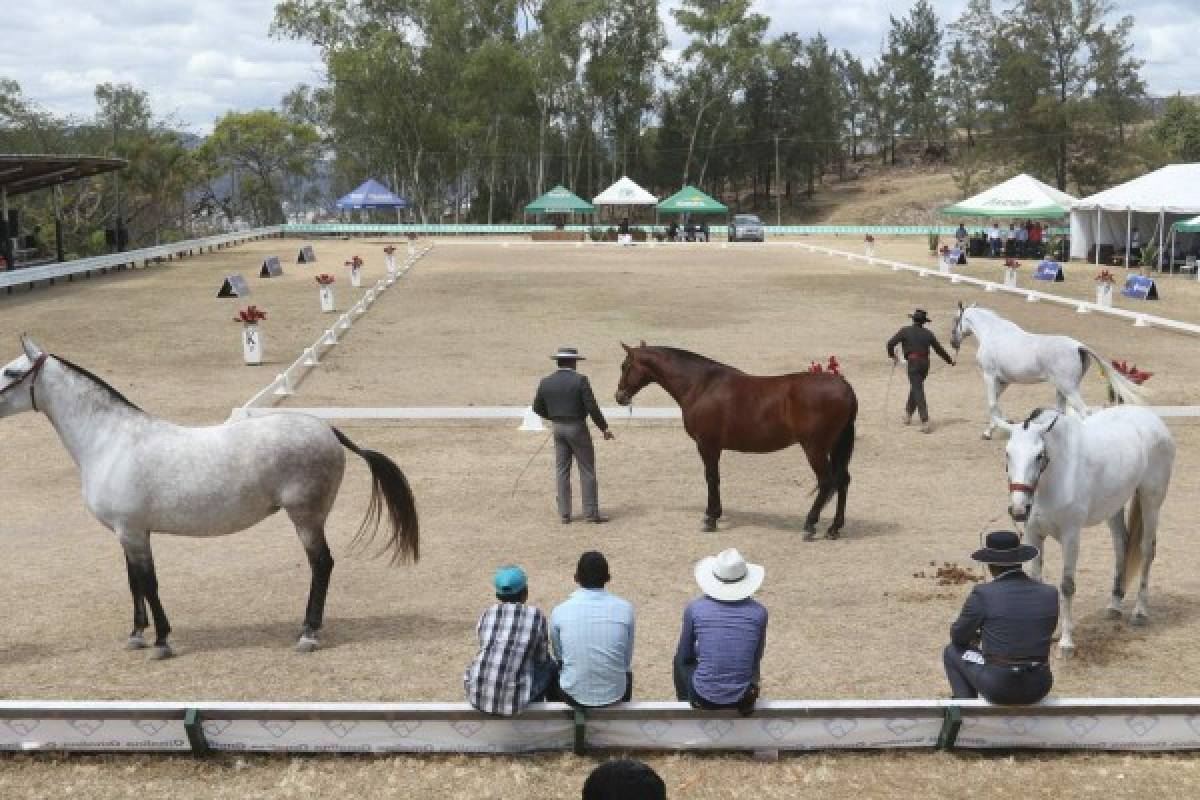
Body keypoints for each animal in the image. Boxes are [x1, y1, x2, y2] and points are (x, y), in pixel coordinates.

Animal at [0, 335, 420, 662]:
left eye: (10, 372)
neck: (111, 441)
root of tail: (328, 429)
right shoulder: (127, 533)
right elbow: (134, 582)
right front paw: (137, 635)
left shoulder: (132, 532)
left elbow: (149, 583)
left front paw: (162, 641)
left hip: (306, 518)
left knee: (322, 565)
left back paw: (308, 634)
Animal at [614, 345, 859, 537]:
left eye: (625, 366)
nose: (619, 397)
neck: (701, 385)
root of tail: (845, 388)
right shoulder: (714, 447)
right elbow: (716, 478)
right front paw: (715, 514)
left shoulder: (706, 445)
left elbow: (711, 478)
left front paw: (710, 519)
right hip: (834, 446)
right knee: (843, 480)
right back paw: (834, 528)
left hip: (814, 448)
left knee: (827, 481)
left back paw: (810, 524)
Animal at [945, 303, 1142, 438]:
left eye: (955, 319)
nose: (953, 342)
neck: (993, 333)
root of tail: (1078, 346)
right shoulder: (1004, 380)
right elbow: (995, 403)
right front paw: (999, 425)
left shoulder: (989, 375)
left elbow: (992, 403)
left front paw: (989, 432)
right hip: (1062, 389)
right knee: (1062, 412)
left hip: (1069, 389)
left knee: (1085, 412)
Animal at [1003, 407, 1171, 657]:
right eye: (1007, 453)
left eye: (1039, 455)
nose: (1019, 509)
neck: (1056, 477)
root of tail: (1151, 418)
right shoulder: (1033, 534)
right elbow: (1035, 581)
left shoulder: (1071, 536)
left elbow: (1067, 586)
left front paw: (1066, 643)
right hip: (1114, 507)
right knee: (1121, 546)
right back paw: (1114, 605)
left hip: (1151, 502)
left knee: (1146, 551)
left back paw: (1140, 613)